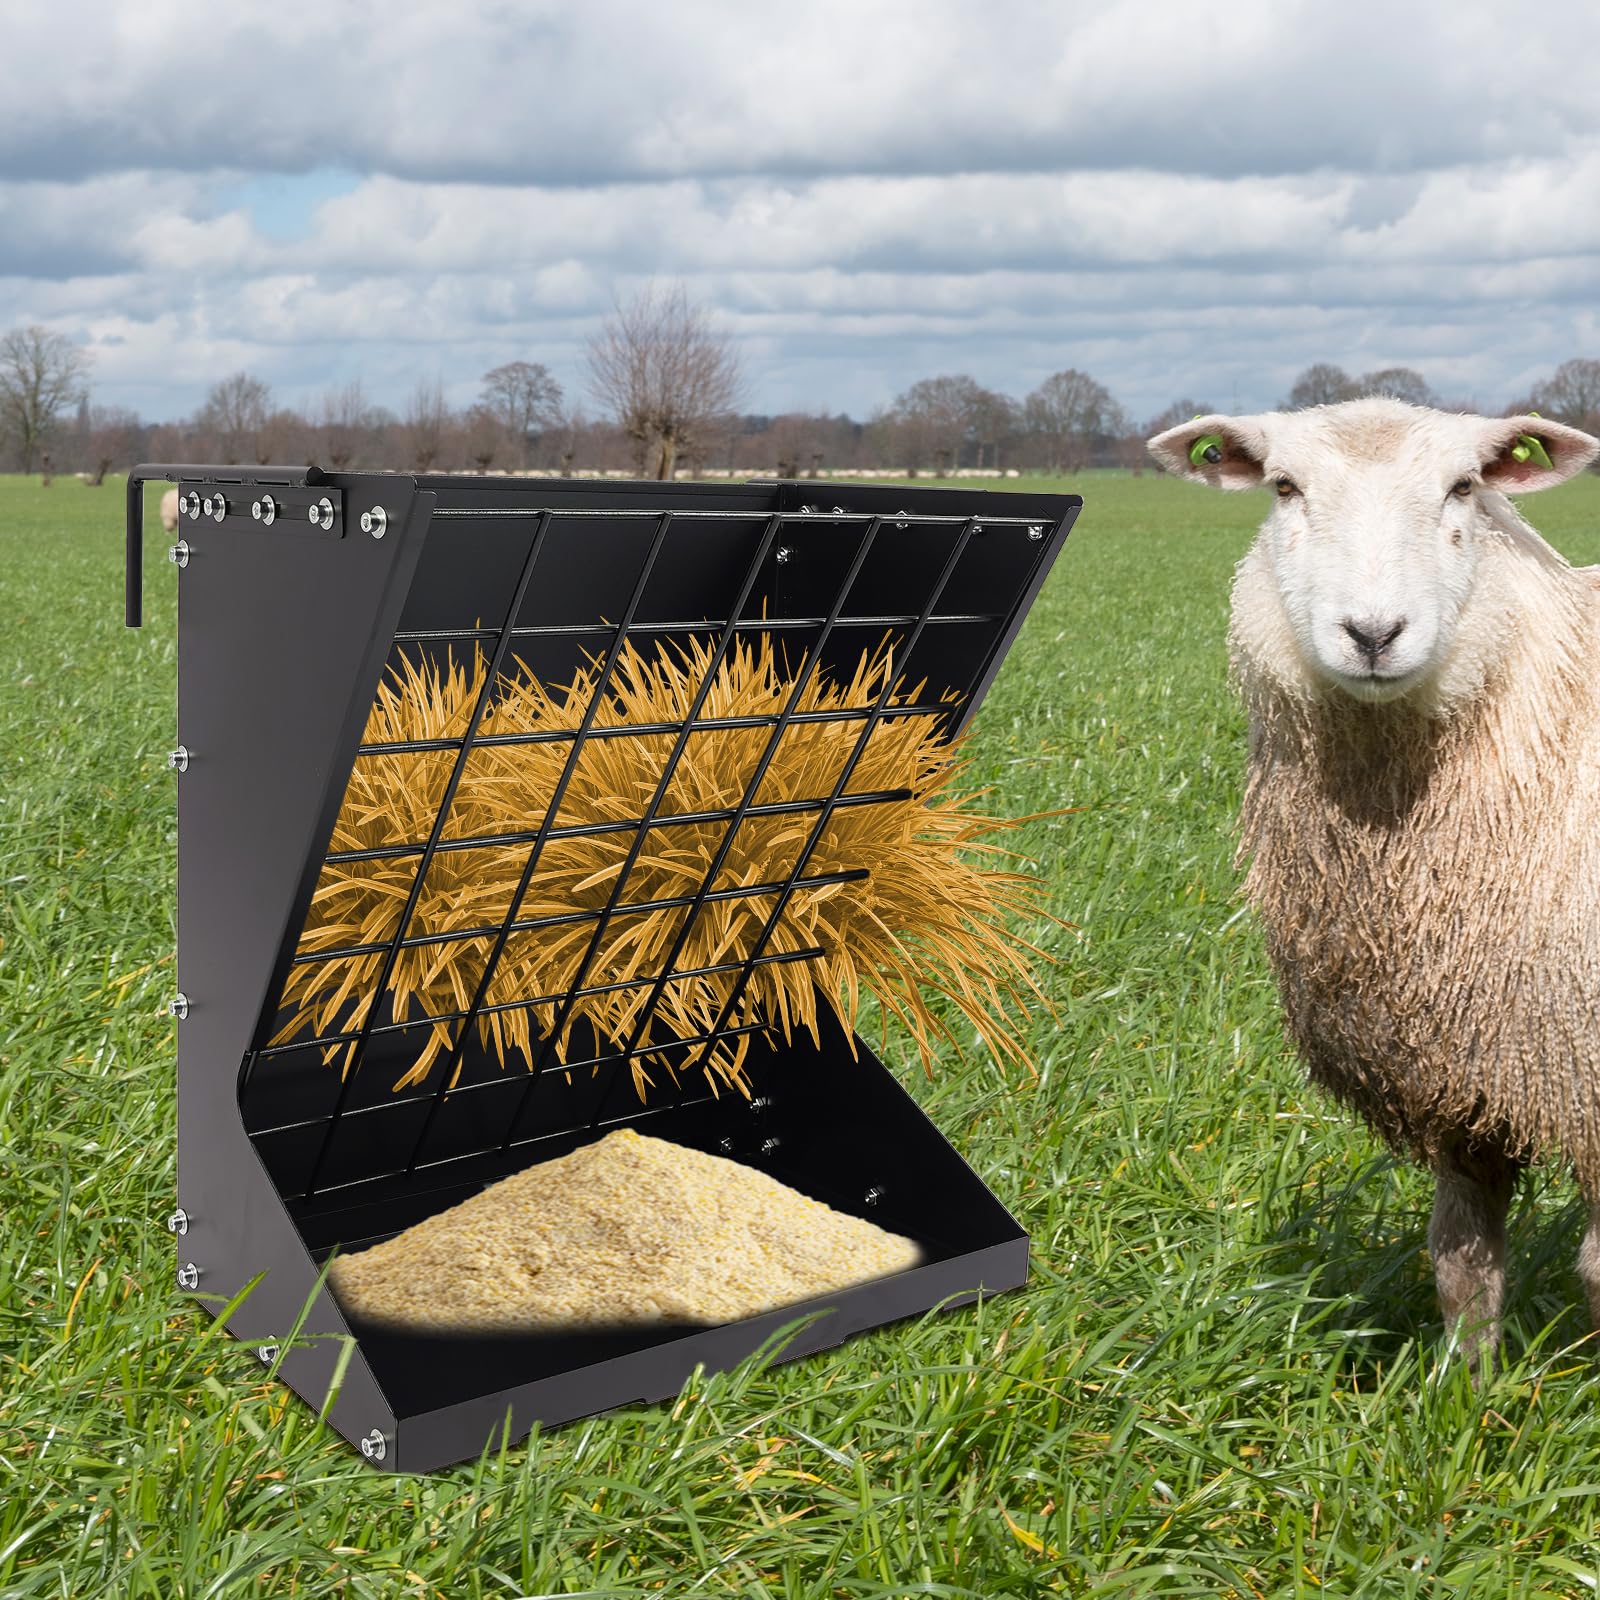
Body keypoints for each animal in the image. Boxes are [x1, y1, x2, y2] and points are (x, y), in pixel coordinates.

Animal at [1148, 397, 1600, 1372]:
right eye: (1285, 486)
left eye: (1463, 486)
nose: (1373, 634)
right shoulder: (1456, 1056)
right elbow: (1461, 1261)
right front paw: (1466, 1395)